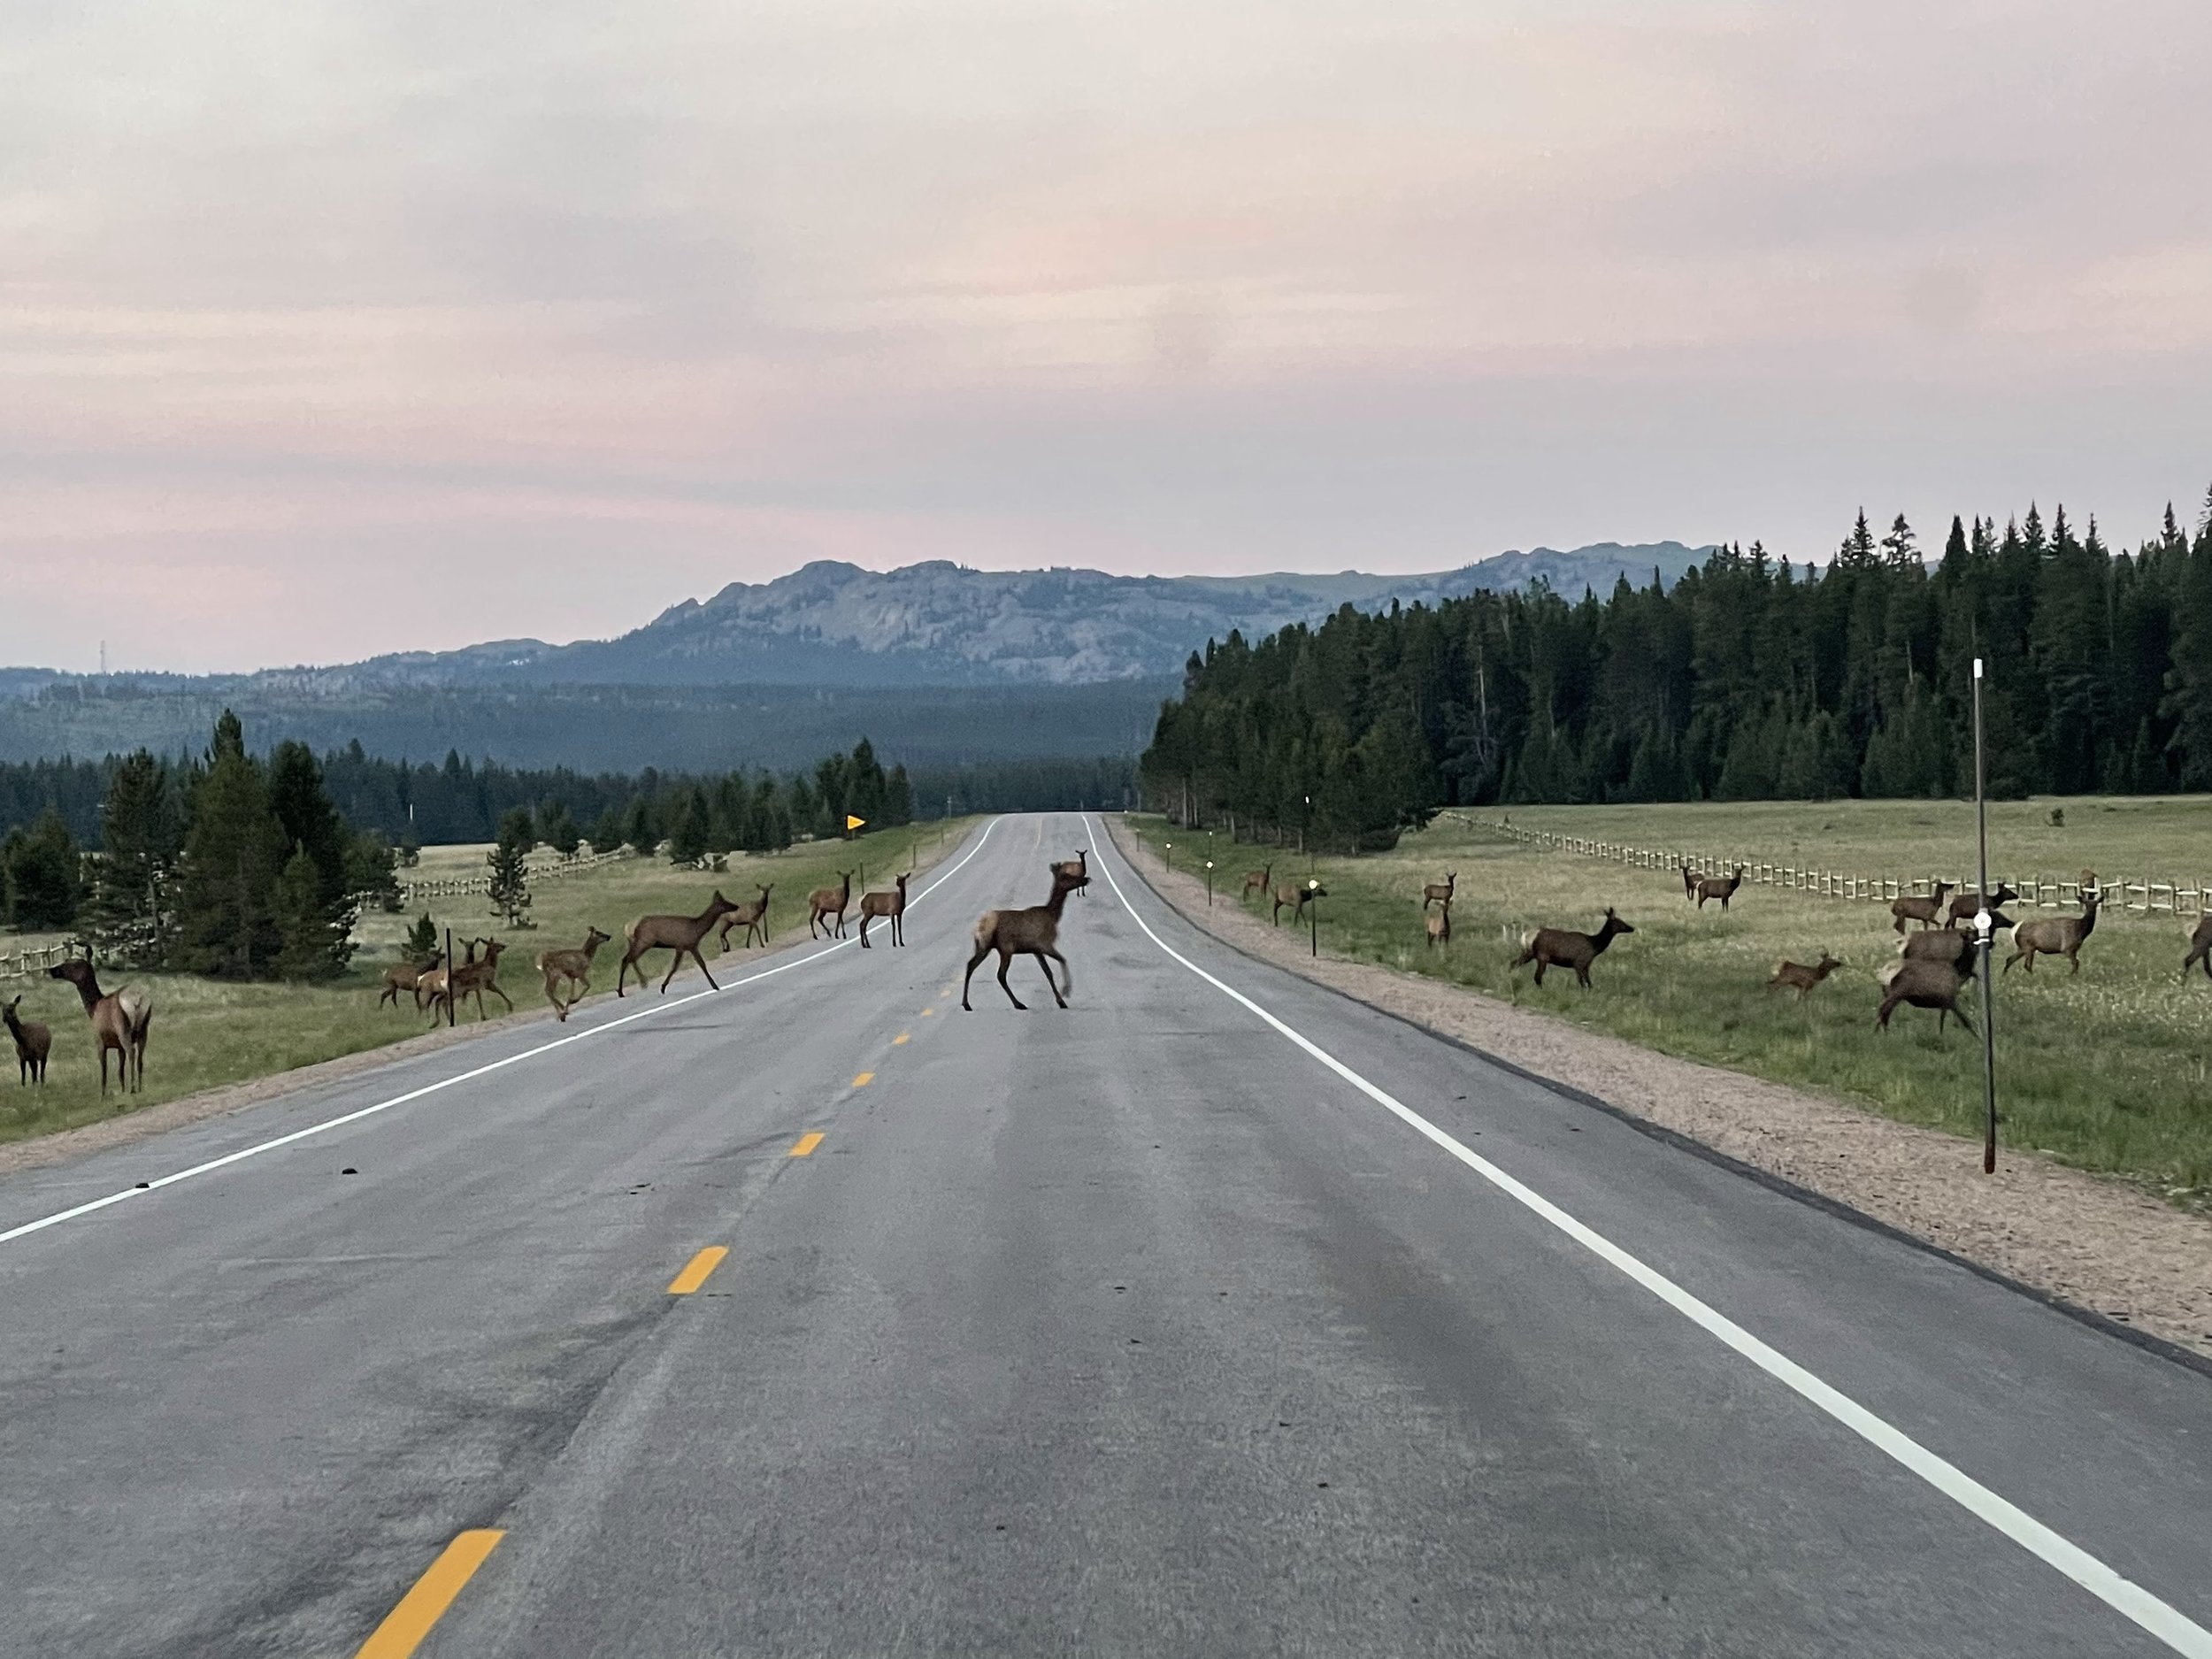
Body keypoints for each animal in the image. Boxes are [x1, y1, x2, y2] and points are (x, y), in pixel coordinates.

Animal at [47, 958, 152, 1095]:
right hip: (144, 1029)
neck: (93, 1009)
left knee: (132, 1051)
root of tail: (137, 1001)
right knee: (140, 1057)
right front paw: (122, 1091)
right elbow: (120, 1072)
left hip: (123, 1028)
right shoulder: (119, 1047)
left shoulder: (99, 1041)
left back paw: (133, 1089)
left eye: (70, 963)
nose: (51, 970)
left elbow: (104, 1072)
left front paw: (103, 1095)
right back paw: (139, 1088)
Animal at [618, 892, 743, 995]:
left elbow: (702, 964)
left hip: (638, 942)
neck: (698, 930)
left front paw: (715, 986)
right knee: (627, 959)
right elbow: (675, 967)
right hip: (645, 941)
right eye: (726, 903)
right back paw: (622, 991)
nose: (737, 906)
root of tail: (632, 928)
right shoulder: (681, 945)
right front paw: (663, 987)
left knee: (629, 958)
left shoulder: (692, 946)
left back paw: (640, 984)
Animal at [962, 863, 1086, 1011]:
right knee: (1000, 975)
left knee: (970, 964)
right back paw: (1018, 1004)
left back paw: (966, 1004)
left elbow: (1048, 972)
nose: (1086, 879)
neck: (1053, 916)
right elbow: (1063, 960)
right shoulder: (1044, 944)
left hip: (983, 947)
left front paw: (1061, 1000)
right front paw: (1065, 993)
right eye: (1067, 876)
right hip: (1006, 948)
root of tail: (980, 926)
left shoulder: (1036, 950)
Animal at [1510, 908, 1634, 989]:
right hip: (1542, 956)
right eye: (1620, 922)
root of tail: (1525, 936)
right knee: (1537, 977)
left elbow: (1590, 983)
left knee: (1513, 963)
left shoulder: (1587, 963)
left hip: (1528, 953)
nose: (1632, 928)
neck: (1595, 946)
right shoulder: (1579, 962)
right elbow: (1583, 983)